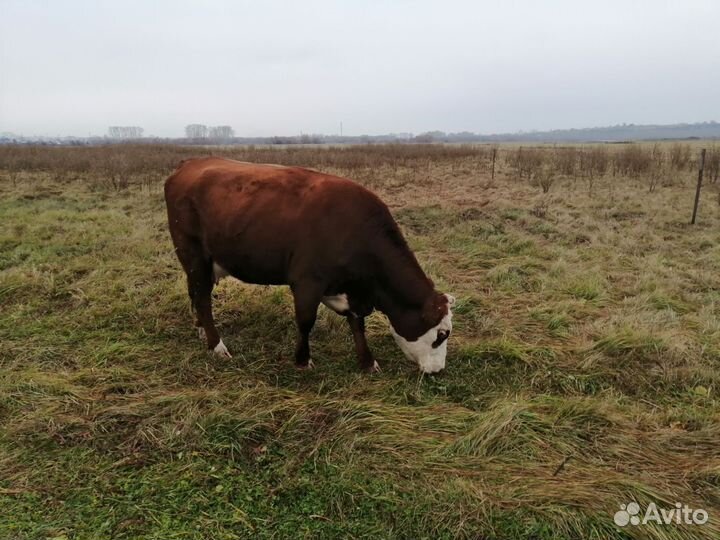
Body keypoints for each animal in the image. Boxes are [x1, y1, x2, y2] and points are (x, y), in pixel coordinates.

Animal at [164, 157, 455, 373]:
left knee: (196, 294)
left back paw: (201, 331)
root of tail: (189, 164)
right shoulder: (307, 282)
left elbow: (357, 324)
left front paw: (367, 362)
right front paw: (303, 360)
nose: (438, 370)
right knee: (202, 298)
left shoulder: (350, 289)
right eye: (441, 334)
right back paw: (216, 346)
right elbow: (306, 321)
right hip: (194, 255)